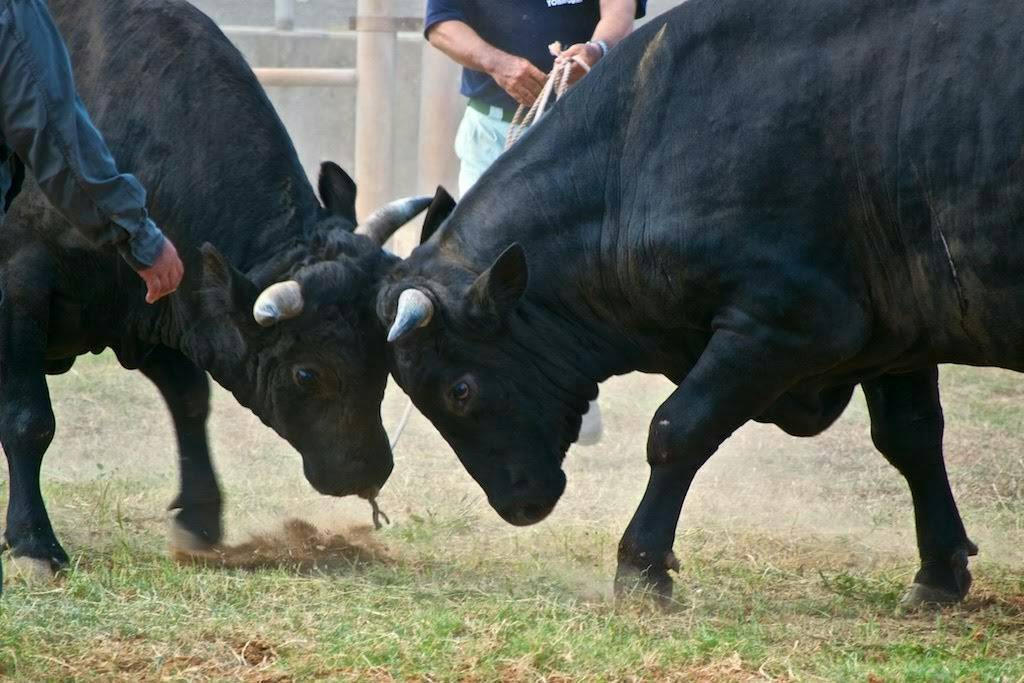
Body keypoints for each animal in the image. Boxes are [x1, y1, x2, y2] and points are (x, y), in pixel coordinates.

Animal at [0, 0, 423, 581]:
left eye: (384, 352)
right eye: (306, 373)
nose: (369, 469)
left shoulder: (158, 304)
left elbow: (190, 400)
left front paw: (200, 517)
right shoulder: (19, 288)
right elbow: (28, 419)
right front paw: (33, 542)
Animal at [382, 0, 1024, 610]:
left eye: (459, 390)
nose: (517, 504)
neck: (640, 151)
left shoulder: (786, 325)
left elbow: (677, 429)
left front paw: (641, 566)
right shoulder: (897, 333)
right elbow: (911, 438)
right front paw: (938, 572)